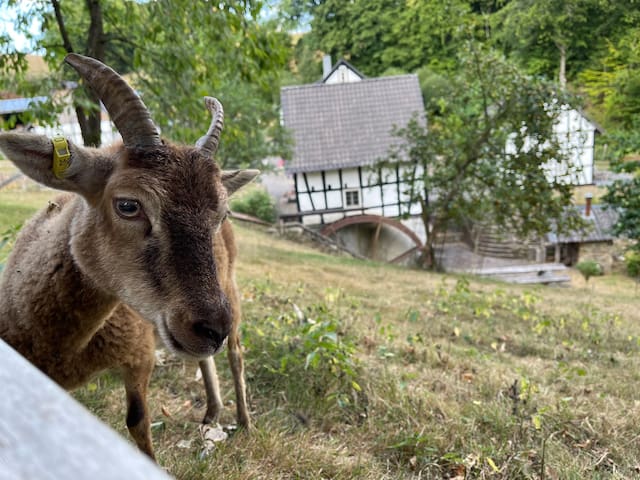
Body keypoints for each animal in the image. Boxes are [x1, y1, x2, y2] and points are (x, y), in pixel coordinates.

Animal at [0, 54, 255, 460]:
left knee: (235, 353)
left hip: (228, 287)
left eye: (221, 214)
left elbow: (138, 421)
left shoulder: (140, 354)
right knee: (205, 358)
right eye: (128, 205)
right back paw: (212, 413)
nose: (212, 329)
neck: (62, 347)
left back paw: (243, 421)